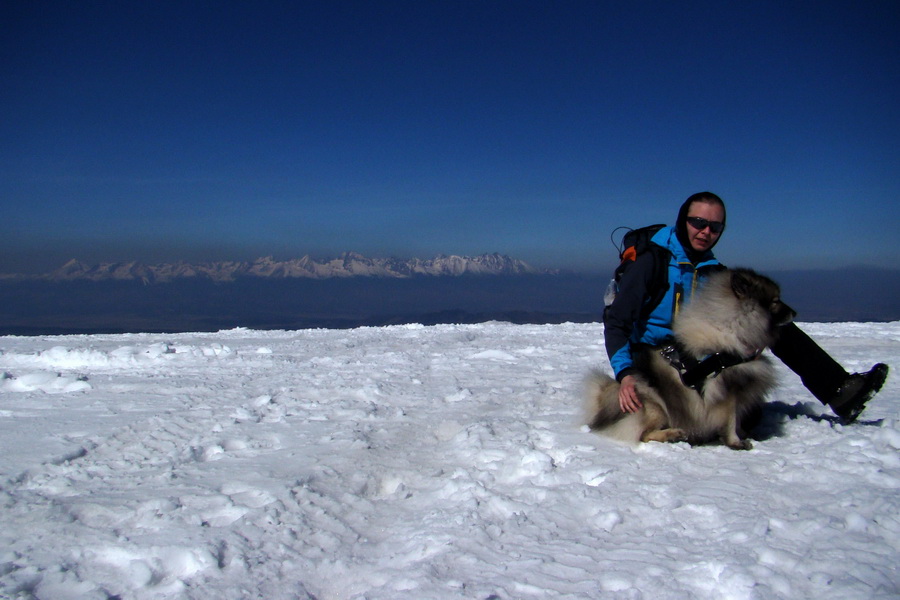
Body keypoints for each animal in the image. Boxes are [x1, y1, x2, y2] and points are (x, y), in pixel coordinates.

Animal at [584, 268, 796, 450]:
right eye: (775, 301)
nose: (794, 313)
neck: (732, 326)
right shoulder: (727, 390)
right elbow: (730, 420)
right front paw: (736, 442)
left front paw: (742, 435)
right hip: (654, 405)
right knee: (644, 434)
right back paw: (673, 434)